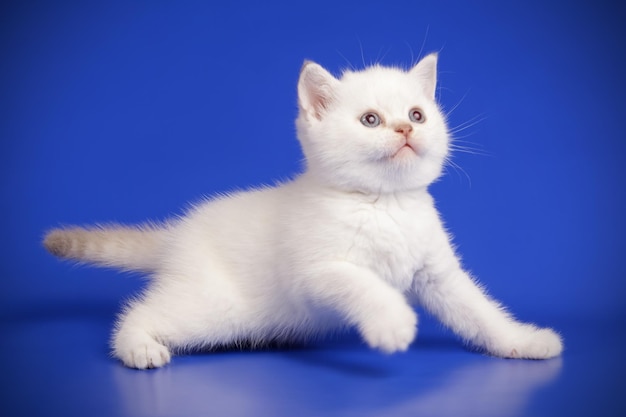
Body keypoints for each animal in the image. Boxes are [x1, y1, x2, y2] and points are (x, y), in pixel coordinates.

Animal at [44, 52, 560, 368]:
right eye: (370, 120)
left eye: (417, 114)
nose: (404, 130)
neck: (385, 203)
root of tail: (176, 234)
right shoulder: (314, 272)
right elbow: (363, 284)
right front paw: (392, 322)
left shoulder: (437, 274)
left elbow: (479, 312)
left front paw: (525, 340)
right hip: (215, 306)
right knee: (144, 311)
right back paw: (137, 347)